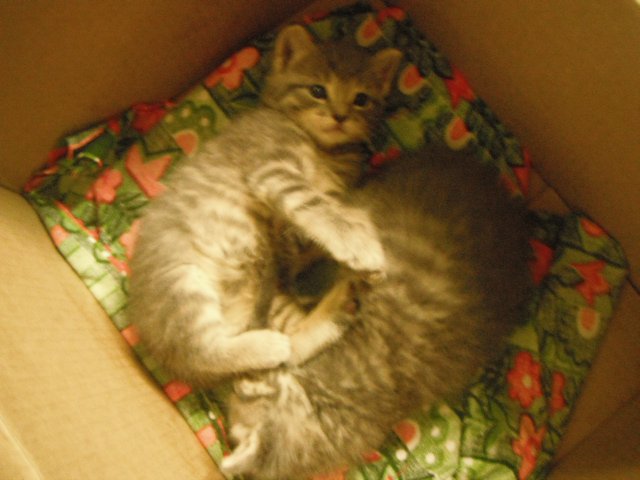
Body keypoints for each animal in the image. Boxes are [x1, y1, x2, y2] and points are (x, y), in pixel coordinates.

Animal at [126, 24, 400, 388]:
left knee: (292, 350)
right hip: (181, 284)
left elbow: (326, 216)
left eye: (361, 99)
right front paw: (360, 243)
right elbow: (317, 206)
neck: (322, 148)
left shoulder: (307, 215)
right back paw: (266, 344)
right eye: (318, 90)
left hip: (268, 299)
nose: (340, 116)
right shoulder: (273, 170)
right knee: (203, 352)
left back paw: (339, 304)